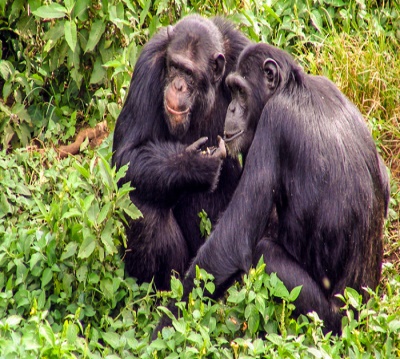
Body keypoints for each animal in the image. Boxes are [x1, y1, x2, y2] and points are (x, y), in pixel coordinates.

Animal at [112, 15, 248, 292]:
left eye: (189, 72)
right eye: (174, 67)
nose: (177, 85)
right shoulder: (147, 66)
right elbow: (126, 155)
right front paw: (195, 164)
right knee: (142, 205)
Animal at [154, 43, 390, 338]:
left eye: (239, 90)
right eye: (230, 91)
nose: (231, 109)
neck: (292, 88)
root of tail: (359, 319)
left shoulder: (273, 122)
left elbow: (231, 242)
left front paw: (165, 330)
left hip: (325, 321)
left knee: (264, 250)